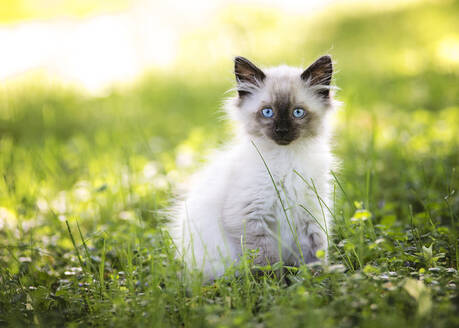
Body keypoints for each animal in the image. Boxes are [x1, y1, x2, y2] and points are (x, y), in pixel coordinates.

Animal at [169, 55, 338, 280]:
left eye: (298, 112)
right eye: (267, 112)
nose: (282, 131)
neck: (285, 160)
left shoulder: (311, 212)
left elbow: (316, 251)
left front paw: (317, 277)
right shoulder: (250, 216)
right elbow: (266, 261)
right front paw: (275, 284)